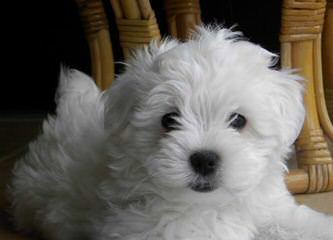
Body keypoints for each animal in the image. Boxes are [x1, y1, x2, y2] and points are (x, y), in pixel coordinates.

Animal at [8, 26, 332, 240]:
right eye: (169, 119)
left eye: (238, 120)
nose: (204, 159)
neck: (212, 204)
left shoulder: (268, 208)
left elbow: (293, 221)